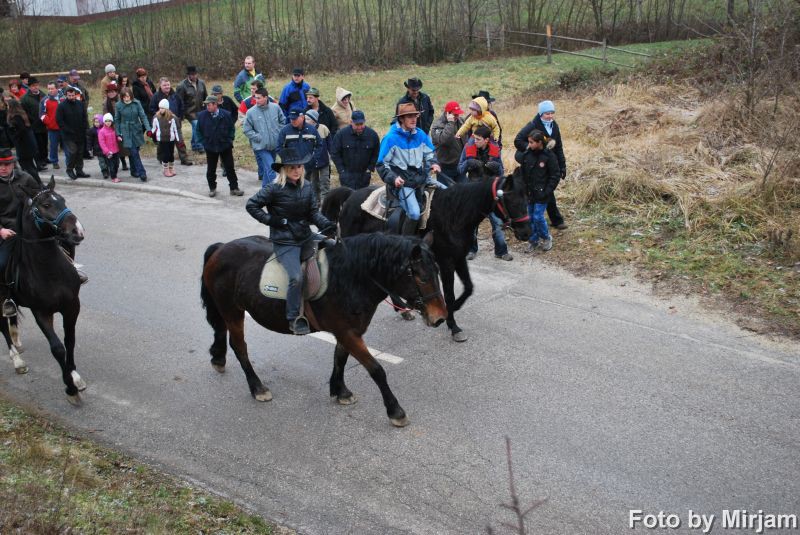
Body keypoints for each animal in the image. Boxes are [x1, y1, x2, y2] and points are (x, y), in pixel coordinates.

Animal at [0, 178, 86, 404]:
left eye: (63, 199)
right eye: (46, 205)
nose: (77, 231)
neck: (49, 269)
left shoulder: (72, 306)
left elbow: (69, 340)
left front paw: (75, 376)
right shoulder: (41, 312)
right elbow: (57, 348)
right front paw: (70, 388)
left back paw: (16, 339)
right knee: (2, 325)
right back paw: (17, 360)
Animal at [199, 233, 446, 428]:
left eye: (437, 271)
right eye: (422, 277)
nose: (440, 318)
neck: (349, 279)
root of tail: (220, 248)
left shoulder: (348, 331)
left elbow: (340, 359)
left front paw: (341, 391)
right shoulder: (347, 332)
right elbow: (376, 370)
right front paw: (395, 411)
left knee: (221, 331)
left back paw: (218, 358)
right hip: (232, 310)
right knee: (239, 346)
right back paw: (257, 387)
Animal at [322, 176, 536, 344]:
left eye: (526, 199)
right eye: (511, 200)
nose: (526, 233)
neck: (454, 214)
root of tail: (351, 195)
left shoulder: (459, 258)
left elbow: (468, 288)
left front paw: (454, 310)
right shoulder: (446, 262)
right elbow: (449, 294)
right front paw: (453, 324)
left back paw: (403, 309)